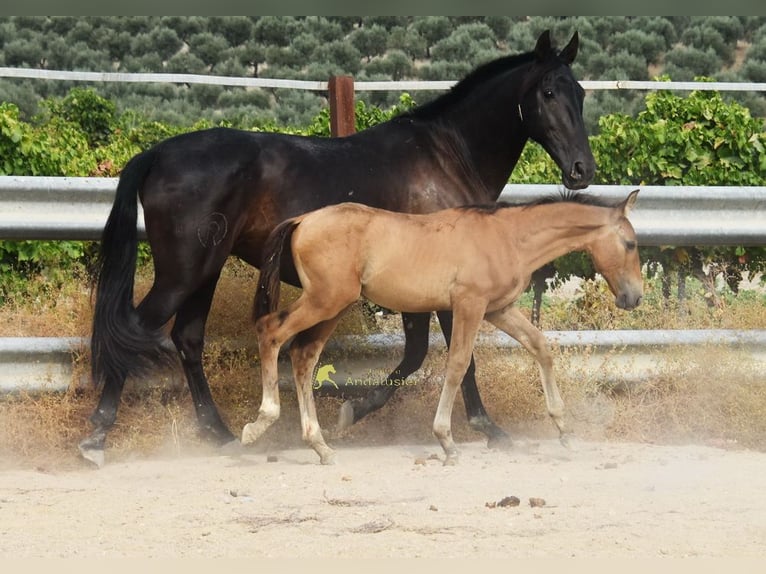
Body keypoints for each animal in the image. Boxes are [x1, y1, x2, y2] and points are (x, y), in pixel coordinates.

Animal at [80, 30, 596, 467]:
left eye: (581, 93)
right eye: (548, 93)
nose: (581, 170)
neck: (447, 155)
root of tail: (156, 154)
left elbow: (416, 354)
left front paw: (353, 412)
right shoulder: (450, 287)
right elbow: (455, 357)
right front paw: (486, 428)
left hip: (204, 271)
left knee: (187, 339)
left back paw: (222, 435)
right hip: (183, 272)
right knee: (135, 331)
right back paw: (96, 438)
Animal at [243, 190, 643, 464]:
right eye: (630, 243)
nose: (634, 297)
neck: (509, 237)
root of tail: (302, 220)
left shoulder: (498, 309)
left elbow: (541, 347)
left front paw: (564, 431)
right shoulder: (469, 305)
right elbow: (458, 364)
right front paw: (447, 441)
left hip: (332, 306)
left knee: (303, 355)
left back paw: (321, 446)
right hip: (326, 301)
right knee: (270, 332)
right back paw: (259, 424)